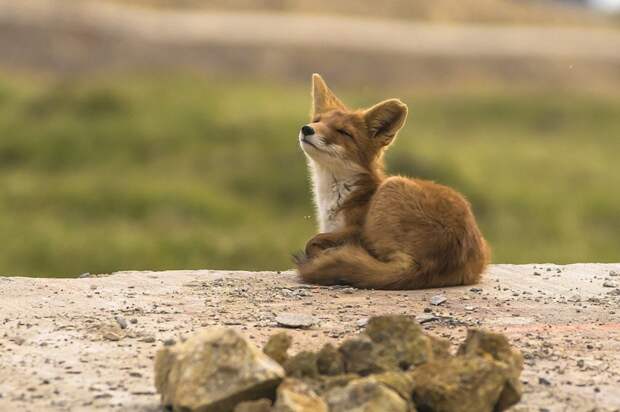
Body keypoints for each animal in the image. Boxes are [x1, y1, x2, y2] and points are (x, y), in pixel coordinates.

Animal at [294, 73, 492, 290]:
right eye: (317, 121)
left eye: (344, 132)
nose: (307, 129)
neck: (337, 197)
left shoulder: (358, 229)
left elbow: (313, 241)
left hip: (391, 188)